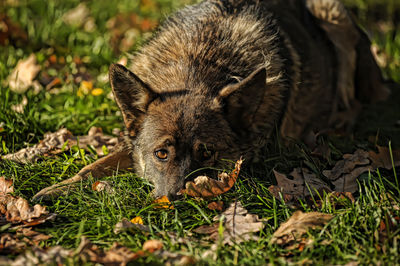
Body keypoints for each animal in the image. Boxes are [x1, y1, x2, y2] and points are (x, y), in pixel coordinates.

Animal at [32, 0, 390, 200]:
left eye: (207, 153)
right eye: (161, 154)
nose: (175, 199)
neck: (198, 62)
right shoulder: (133, 146)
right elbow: (94, 166)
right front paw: (58, 189)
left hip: (335, 16)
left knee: (353, 101)